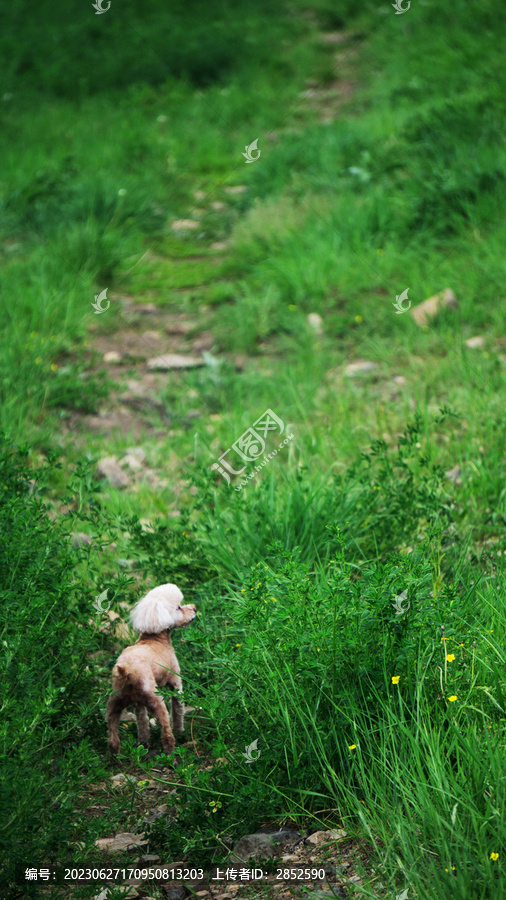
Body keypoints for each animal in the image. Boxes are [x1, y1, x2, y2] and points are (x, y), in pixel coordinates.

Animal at [107, 584, 197, 752]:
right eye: (178, 607)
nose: (194, 608)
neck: (154, 638)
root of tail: (125, 670)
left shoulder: (138, 703)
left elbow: (142, 721)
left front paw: (144, 741)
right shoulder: (175, 681)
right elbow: (178, 708)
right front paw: (180, 731)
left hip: (115, 702)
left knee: (113, 733)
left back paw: (116, 752)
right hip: (155, 698)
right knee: (165, 728)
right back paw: (171, 751)